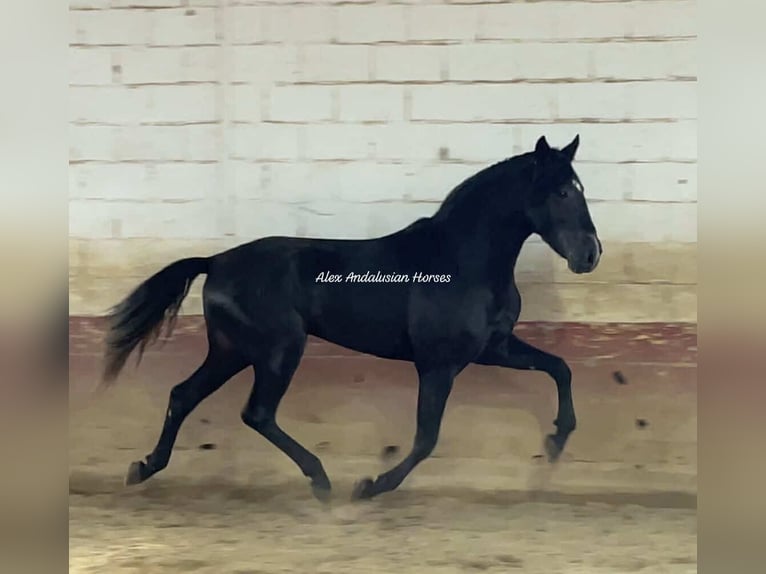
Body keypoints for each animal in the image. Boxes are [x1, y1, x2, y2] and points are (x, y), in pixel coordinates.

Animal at [103, 135, 608, 504]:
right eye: (563, 191)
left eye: (580, 188)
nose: (590, 254)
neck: (463, 261)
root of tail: (216, 261)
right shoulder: (439, 364)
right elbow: (426, 439)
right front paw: (371, 486)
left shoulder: (492, 348)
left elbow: (560, 367)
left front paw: (557, 439)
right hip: (278, 350)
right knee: (256, 412)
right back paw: (322, 481)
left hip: (232, 350)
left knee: (184, 396)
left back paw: (143, 467)